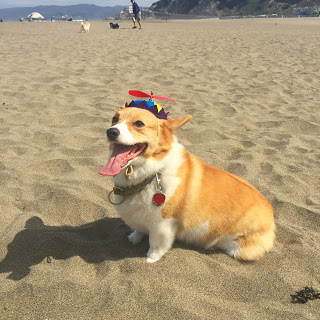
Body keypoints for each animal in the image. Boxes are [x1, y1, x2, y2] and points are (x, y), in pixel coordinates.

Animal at [99, 99, 276, 262]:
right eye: (114, 119)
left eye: (139, 123)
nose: (111, 132)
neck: (152, 173)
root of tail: (272, 216)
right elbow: (139, 229)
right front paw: (134, 237)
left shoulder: (163, 224)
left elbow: (156, 244)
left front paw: (151, 258)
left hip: (238, 247)